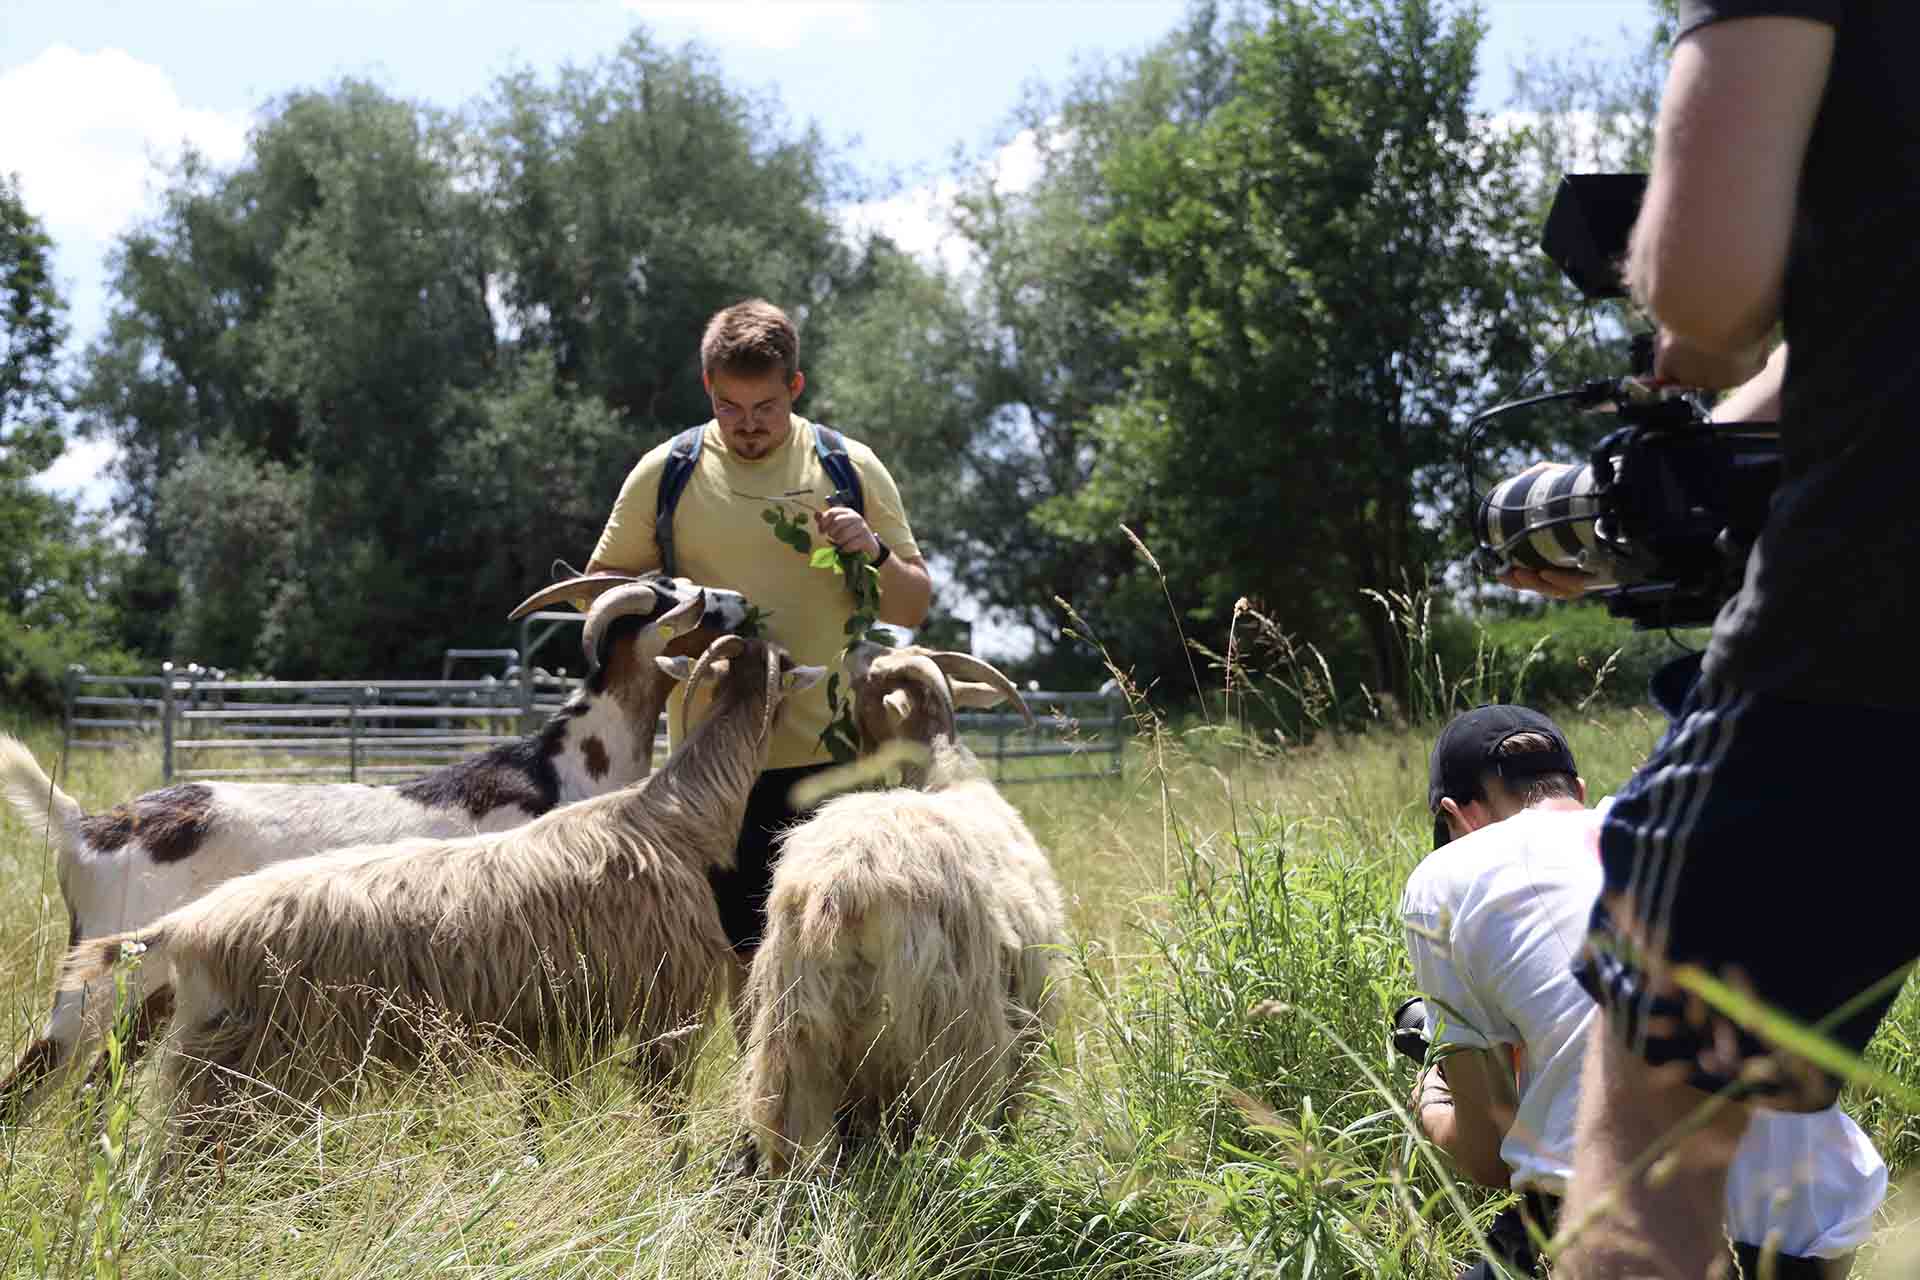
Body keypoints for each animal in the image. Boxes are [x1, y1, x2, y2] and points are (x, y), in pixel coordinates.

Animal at [1, 575, 748, 1128]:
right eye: (677, 597)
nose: (741, 602)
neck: (563, 769)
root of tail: (90, 828)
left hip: (157, 991)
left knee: (93, 1089)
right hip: (98, 986)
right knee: (33, 1079)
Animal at [737, 644, 1075, 1174]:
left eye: (864, 684)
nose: (849, 652)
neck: (947, 774)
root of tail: (844, 886)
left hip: (794, 1029)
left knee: (795, 1134)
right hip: (950, 1033)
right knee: (952, 1125)